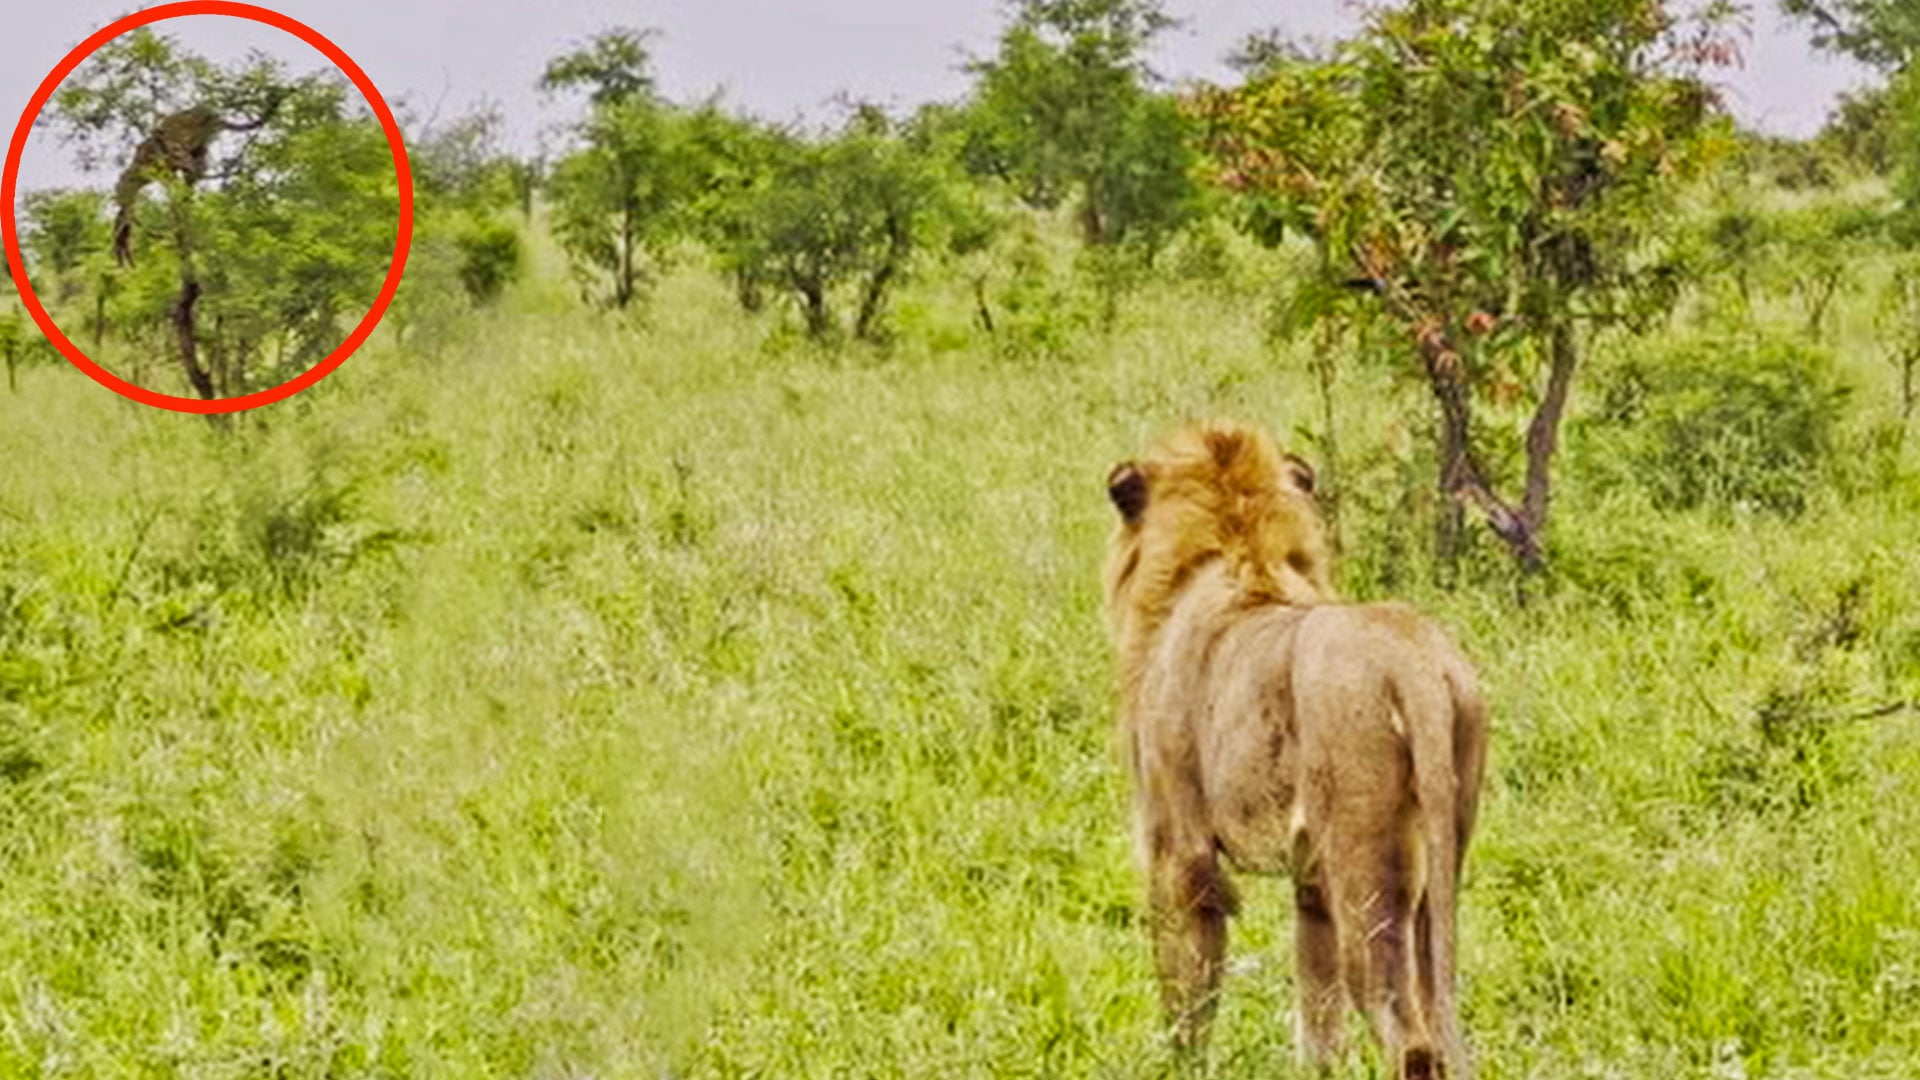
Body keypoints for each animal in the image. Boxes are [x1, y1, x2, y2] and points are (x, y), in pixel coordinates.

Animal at [1103, 419, 1488, 1080]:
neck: (1235, 557)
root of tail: (1413, 663)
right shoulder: (1311, 884)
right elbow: (1319, 1023)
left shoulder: (1179, 853)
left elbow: (1187, 1000)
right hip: (1435, 872)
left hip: (1367, 875)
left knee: (1409, 1038)